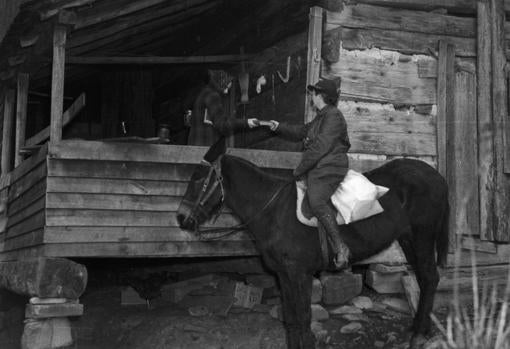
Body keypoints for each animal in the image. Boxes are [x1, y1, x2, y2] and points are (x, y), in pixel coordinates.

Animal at [177, 139, 448, 348]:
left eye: (199, 179)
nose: (181, 218)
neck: (274, 211)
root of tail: (436, 176)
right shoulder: (284, 274)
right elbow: (292, 317)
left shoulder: (300, 273)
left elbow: (304, 316)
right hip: (408, 239)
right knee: (424, 278)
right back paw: (418, 328)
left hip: (423, 236)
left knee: (430, 277)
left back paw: (419, 334)